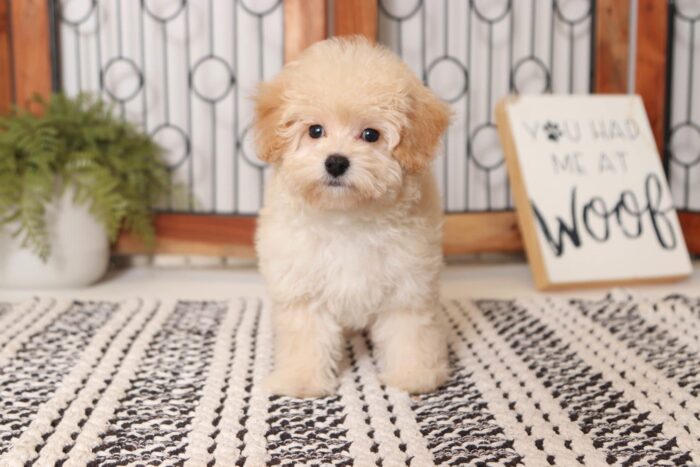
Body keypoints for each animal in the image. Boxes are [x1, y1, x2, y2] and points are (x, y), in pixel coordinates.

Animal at [254, 36, 452, 398]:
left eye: (371, 134)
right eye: (315, 131)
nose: (336, 162)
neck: (347, 217)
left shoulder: (409, 283)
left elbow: (410, 330)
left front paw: (413, 375)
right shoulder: (302, 285)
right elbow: (306, 335)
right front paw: (302, 380)